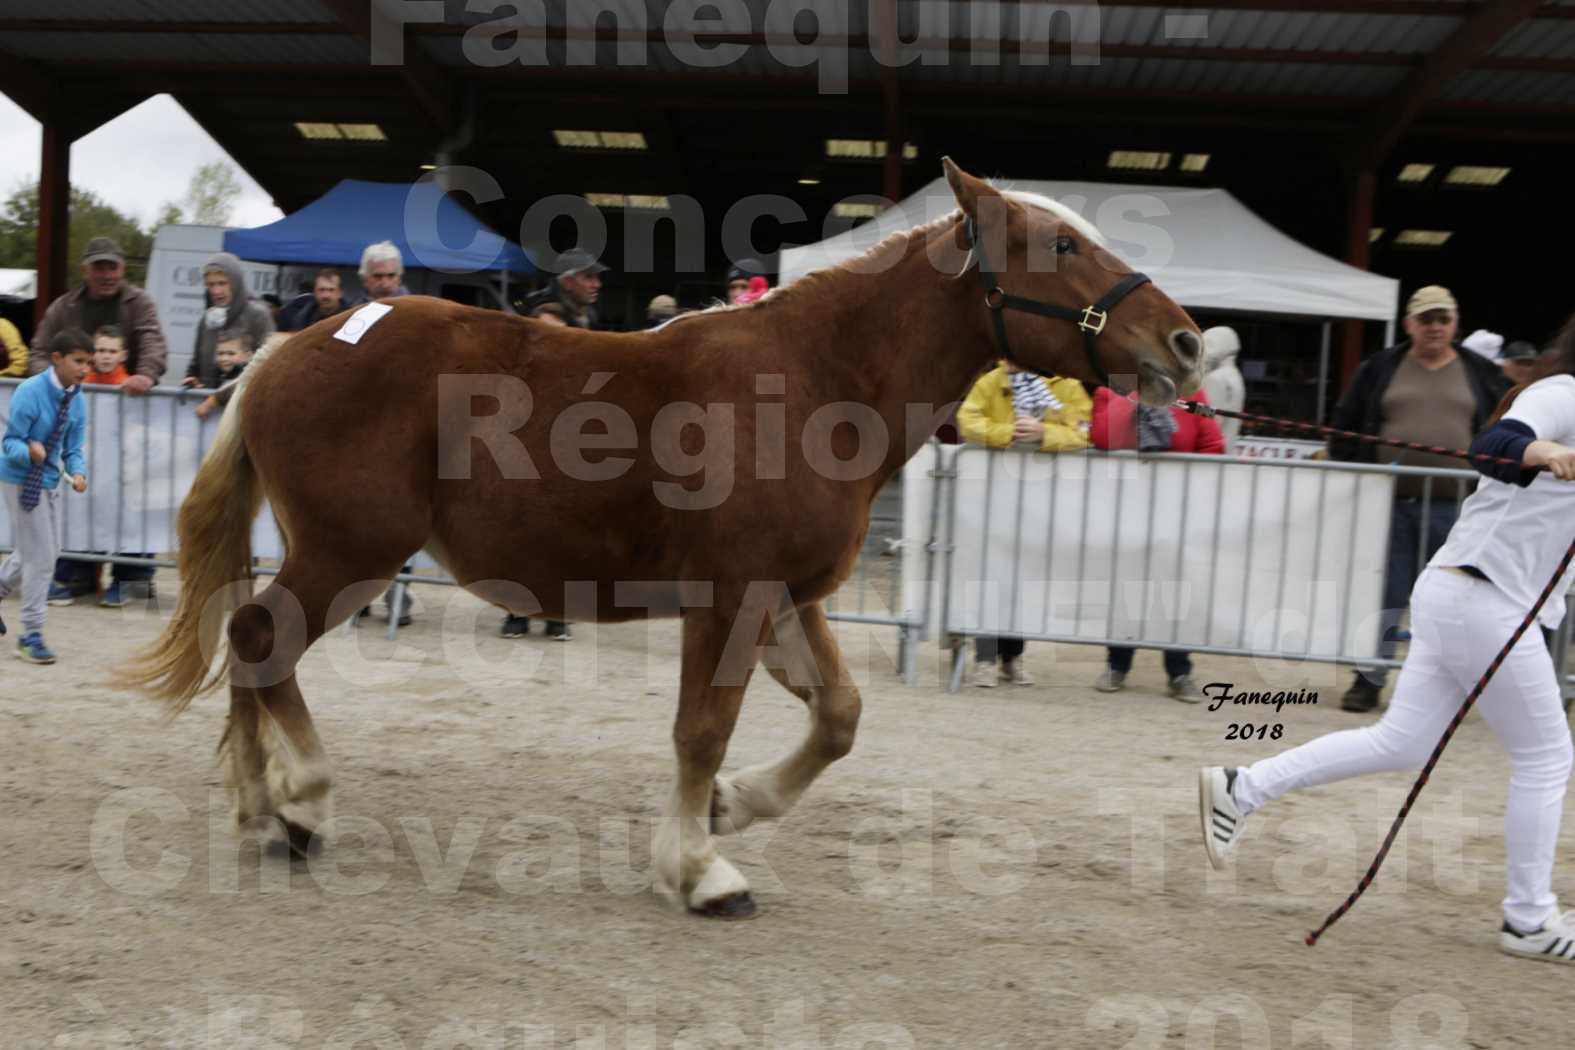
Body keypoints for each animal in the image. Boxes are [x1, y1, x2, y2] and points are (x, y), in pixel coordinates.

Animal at [126, 158, 1203, 919]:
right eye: (1057, 246)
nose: (1187, 344)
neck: (814, 384)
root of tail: (283, 348)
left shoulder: (788, 600)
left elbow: (839, 717)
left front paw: (733, 806)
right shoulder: (728, 600)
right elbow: (701, 729)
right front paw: (698, 868)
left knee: (254, 646)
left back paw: (263, 807)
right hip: (348, 554)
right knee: (262, 639)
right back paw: (300, 801)